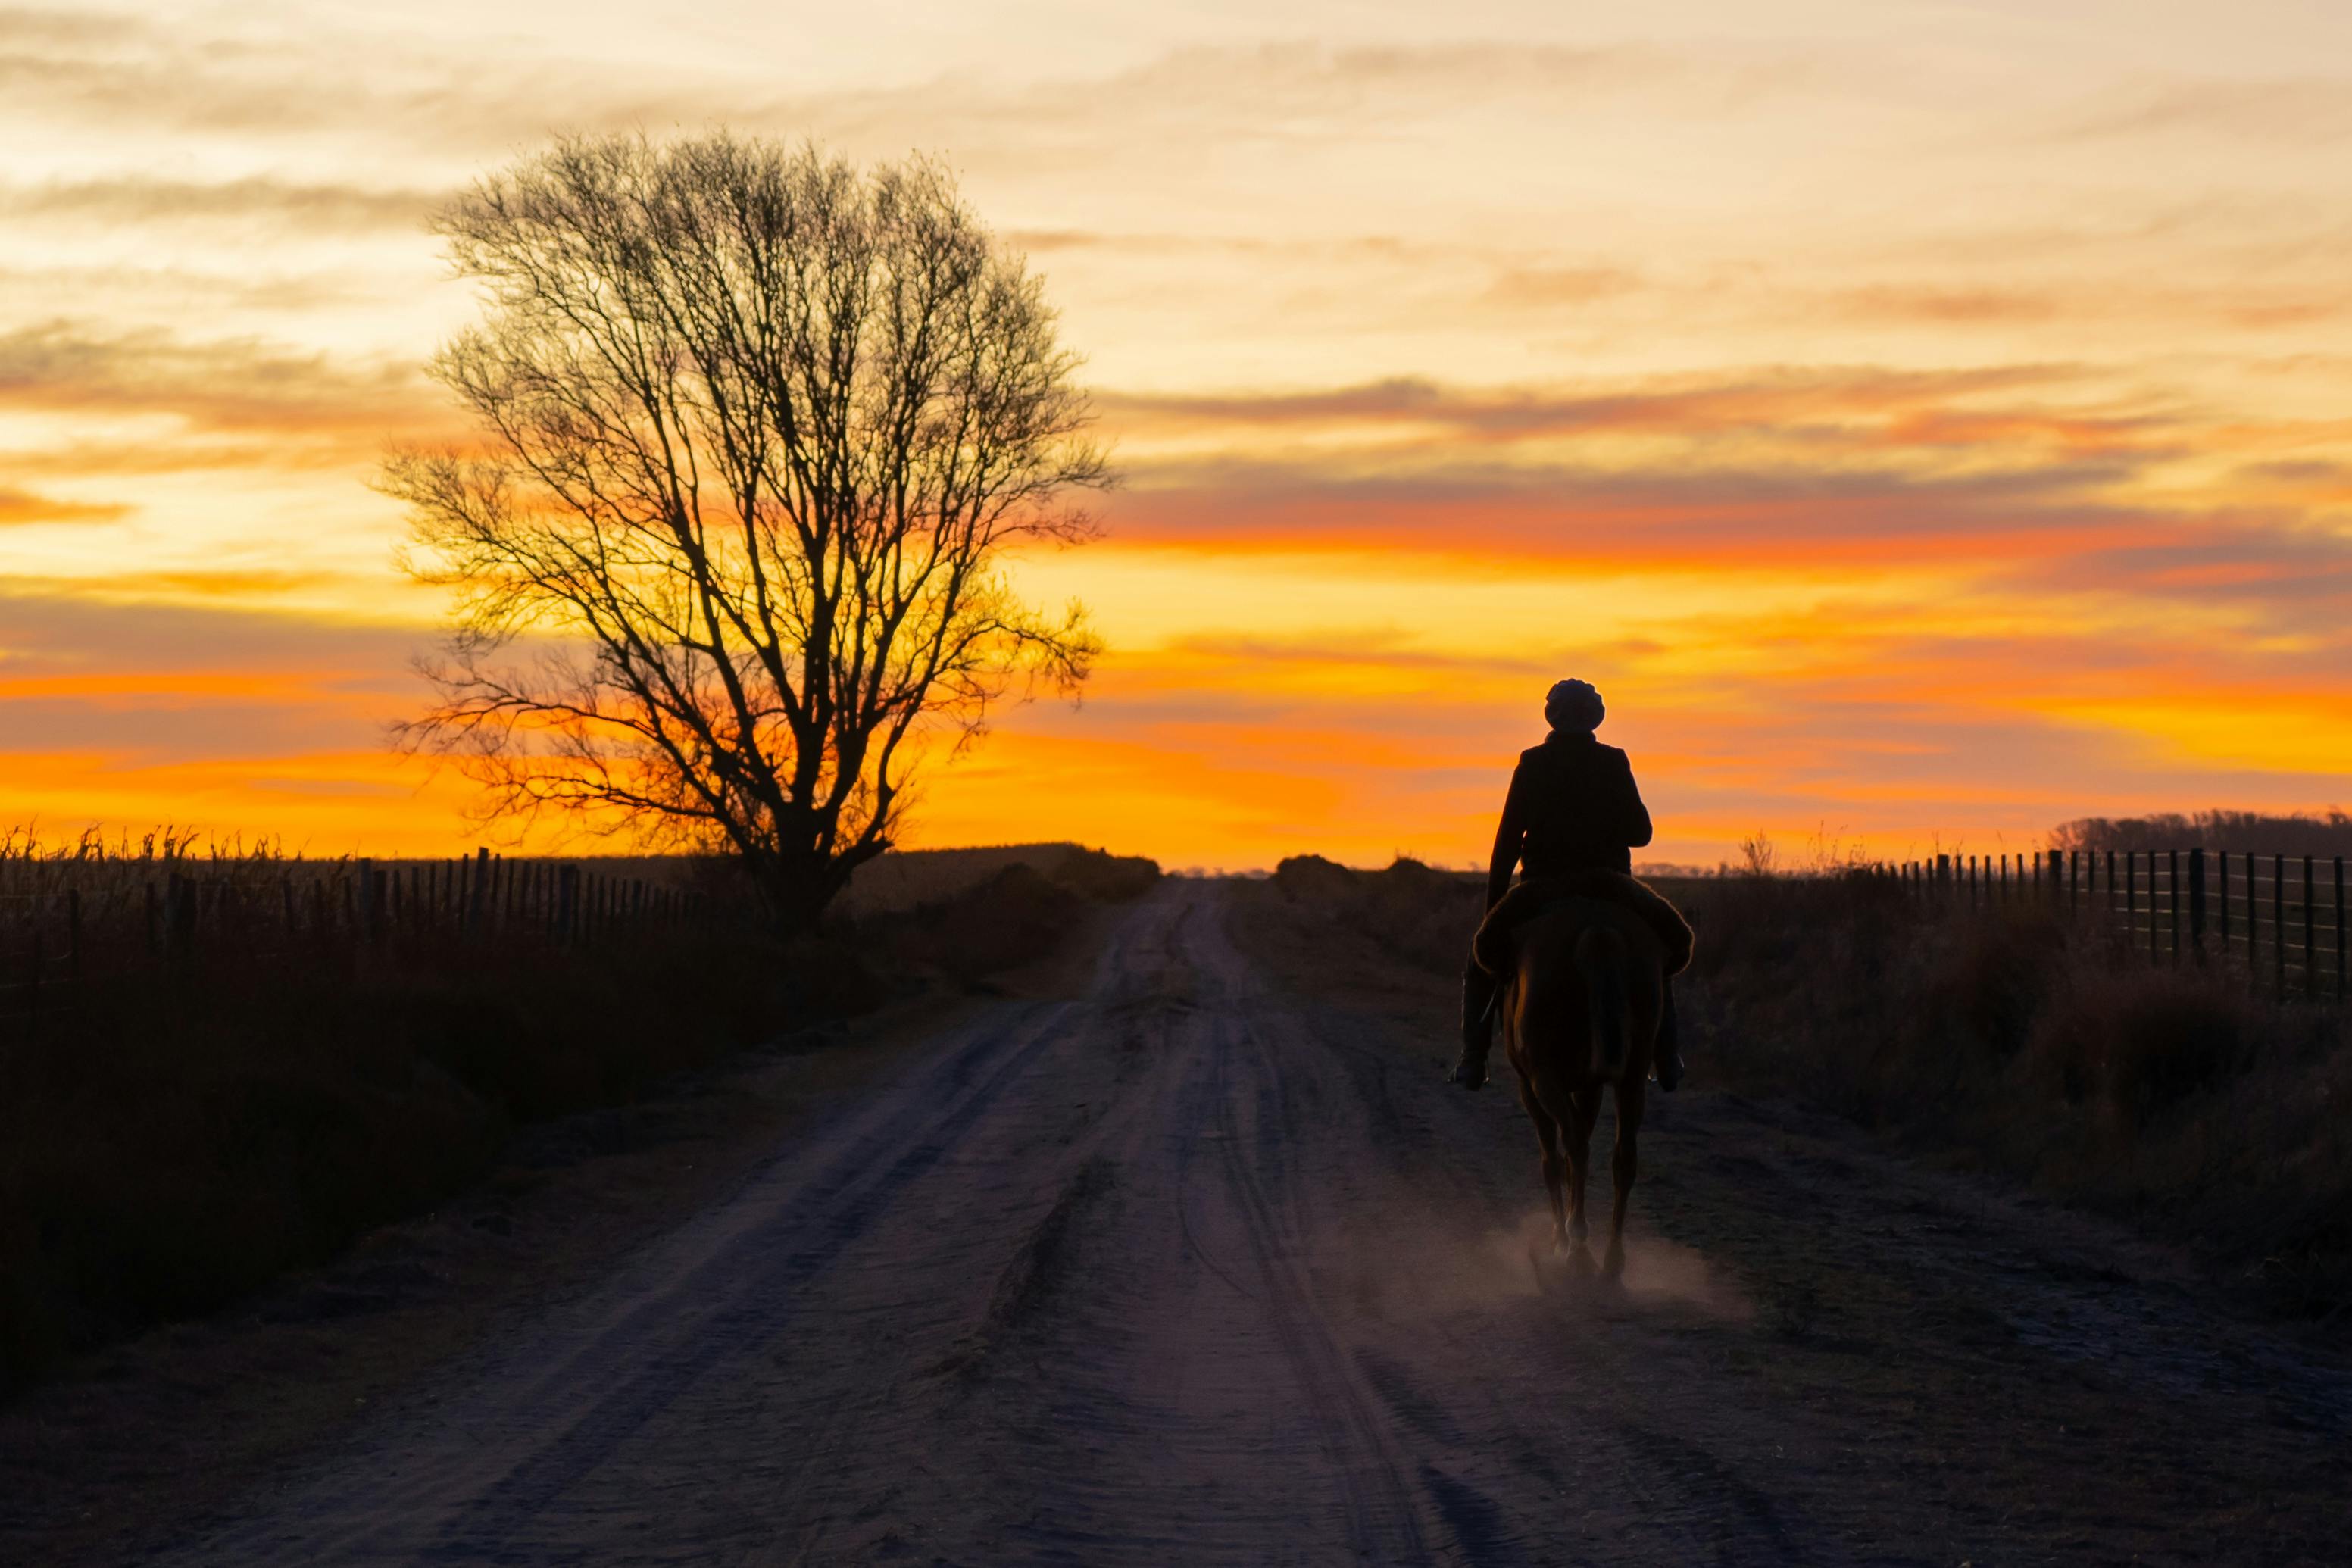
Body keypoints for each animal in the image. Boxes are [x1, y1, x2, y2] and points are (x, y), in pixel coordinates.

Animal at [1495, 893, 1665, 1279]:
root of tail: (1596, 930)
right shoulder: (1590, 1086)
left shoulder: (1530, 1084)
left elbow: (1553, 1160)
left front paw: (1560, 1238)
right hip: (1633, 1078)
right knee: (1623, 1155)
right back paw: (1613, 1256)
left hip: (1543, 1078)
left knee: (1573, 1145)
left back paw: (1577, 1244)